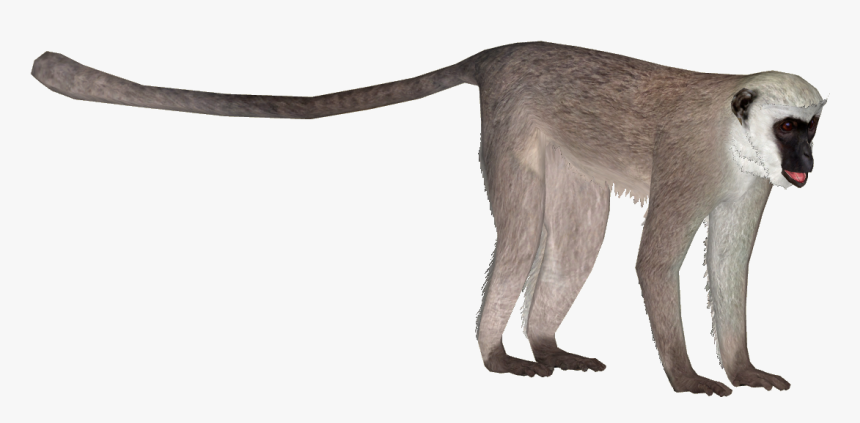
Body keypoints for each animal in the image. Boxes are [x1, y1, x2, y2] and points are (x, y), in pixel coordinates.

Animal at [31, 42, 825, 396]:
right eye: (790, 128)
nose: (807, 161)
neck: (731, 133)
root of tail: (504, 53)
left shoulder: (746, 183)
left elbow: (728, 265)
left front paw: (743, 367)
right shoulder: (691, 160)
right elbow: (656, 261)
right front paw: (687, 377)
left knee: (573, 234)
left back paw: (545, 343)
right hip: (514, 123)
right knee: (525, 234)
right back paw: (500, 352)